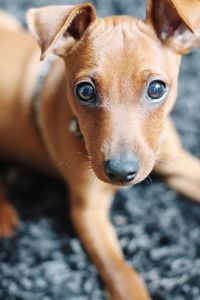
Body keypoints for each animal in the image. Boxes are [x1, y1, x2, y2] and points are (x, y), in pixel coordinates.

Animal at [0, 0, 200, 298]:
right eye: (85, 91)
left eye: (157, 89)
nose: (121, 173)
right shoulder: (88, 211)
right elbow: (121, 273)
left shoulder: (177, 161)